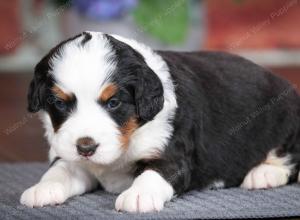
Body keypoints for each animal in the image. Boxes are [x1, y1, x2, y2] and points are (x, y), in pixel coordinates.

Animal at [20, 31, 300, 212]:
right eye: (60, 104)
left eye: (114, 103)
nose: (85, 147)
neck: (130, 136)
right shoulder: (70, 156)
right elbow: (60, 169)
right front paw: (43, 188)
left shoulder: (172, 154)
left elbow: (153, 174)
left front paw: (138, 195)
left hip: (287, 121)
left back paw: (263, 174)